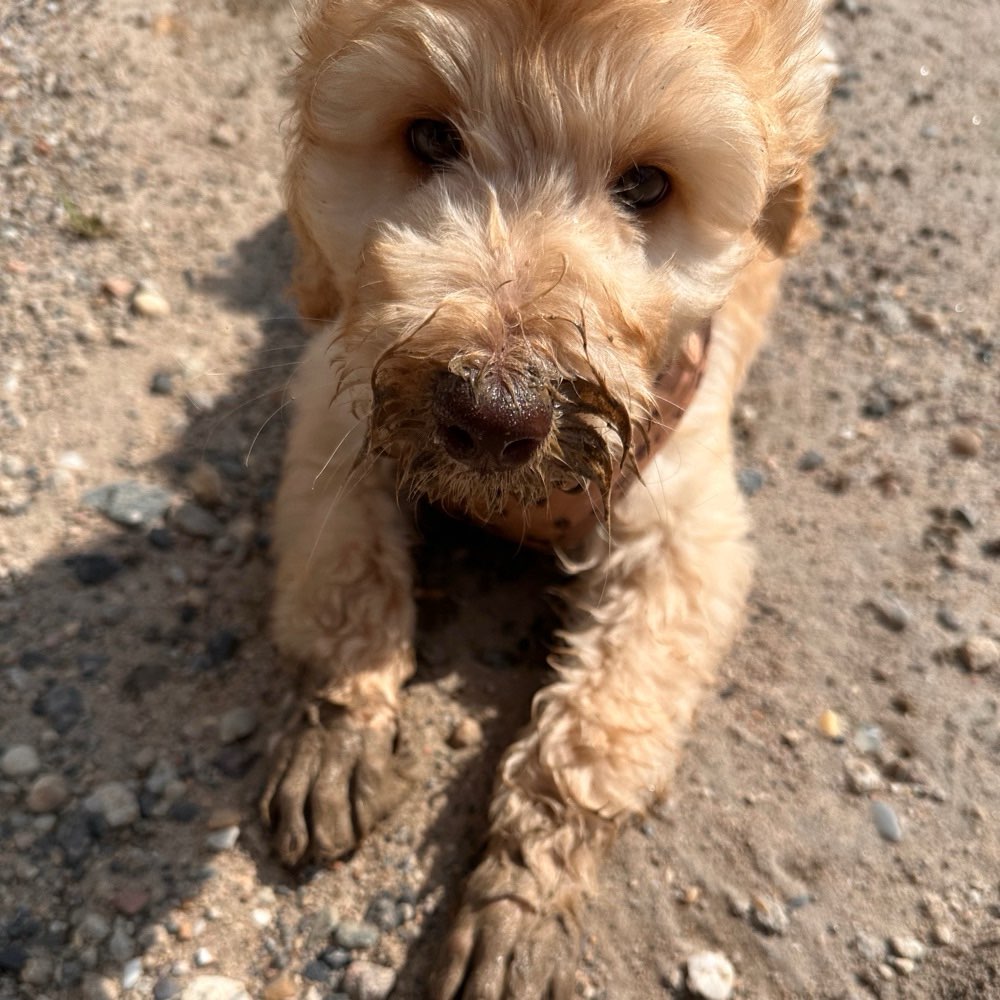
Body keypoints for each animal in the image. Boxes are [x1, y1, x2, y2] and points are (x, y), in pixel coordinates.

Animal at [258, 3, 828, 996]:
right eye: (429, 138)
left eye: (648, 184)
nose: (493, 416)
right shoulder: (337, 412)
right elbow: (344, 581)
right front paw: (338, 731)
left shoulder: (686, 537)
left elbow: (599, 727)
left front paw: (523, 894)